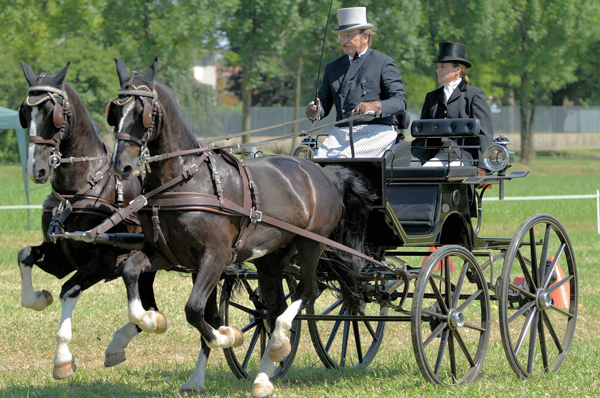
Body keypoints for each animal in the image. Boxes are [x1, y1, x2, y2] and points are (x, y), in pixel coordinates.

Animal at [17, 61, 161, 380]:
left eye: (54, 113)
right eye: (24, 113)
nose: (36, 170)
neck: (80, 189)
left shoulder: (103, 261)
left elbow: (69, 290)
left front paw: (62, 359)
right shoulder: (59, 255)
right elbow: (25, 255)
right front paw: (38, 298)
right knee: (150, 305)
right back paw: (122, 342)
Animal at [105, 57, 372, 396]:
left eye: (143, 112)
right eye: (114, 113)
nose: (121, 166)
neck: (186, 179)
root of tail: (326, 173)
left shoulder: (216, 256)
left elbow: (196, 310)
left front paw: (227, 336)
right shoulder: (166, 254)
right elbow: (132, 272)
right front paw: (150, 326)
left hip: (311, 244)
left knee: (307, 292)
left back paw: (279, 341)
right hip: (272, 257)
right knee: (273, 306)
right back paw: (263, 376)